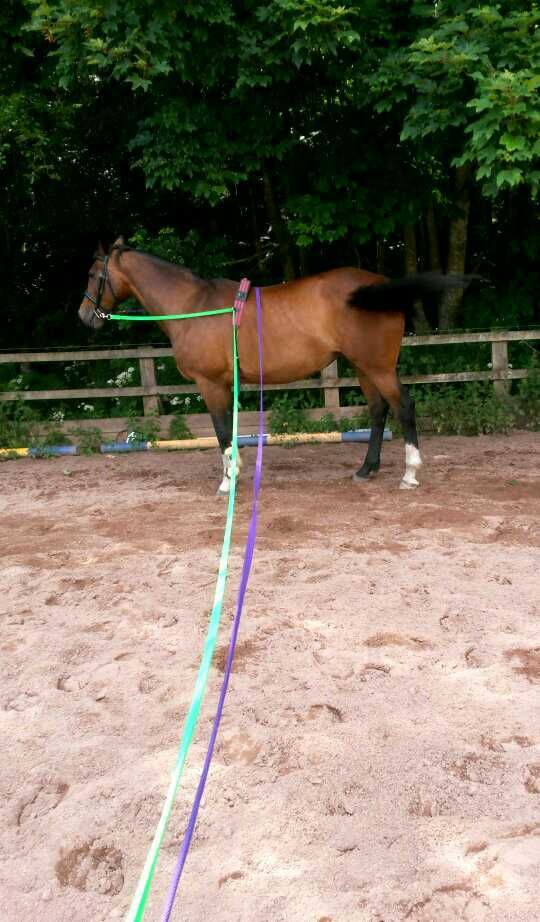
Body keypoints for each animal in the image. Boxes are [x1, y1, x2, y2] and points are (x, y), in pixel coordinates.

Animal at [79, 236, 468, 494]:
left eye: (93, 274)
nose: (84, 316)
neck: (193, 305)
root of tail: (379, 285)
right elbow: (229, 430)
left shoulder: (211, 384)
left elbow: (221, 432)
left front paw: (228, 482)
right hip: (364, 367)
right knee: (378, 410)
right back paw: (366, 469)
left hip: (378, 367)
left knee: (404, 406)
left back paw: (409, 474)